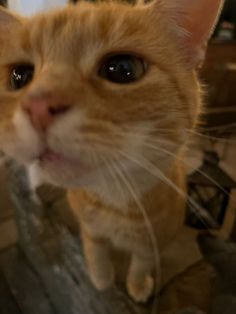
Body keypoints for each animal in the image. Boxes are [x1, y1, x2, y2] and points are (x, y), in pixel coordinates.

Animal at [0, 0, 221, 304]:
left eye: (123, 68)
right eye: (19, 76)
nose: (37, 106)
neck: (114, 201)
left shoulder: (152, 242)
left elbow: (141, 264)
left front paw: (137, 285)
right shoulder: (89, 227)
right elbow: (95, 251)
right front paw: (101, 279)